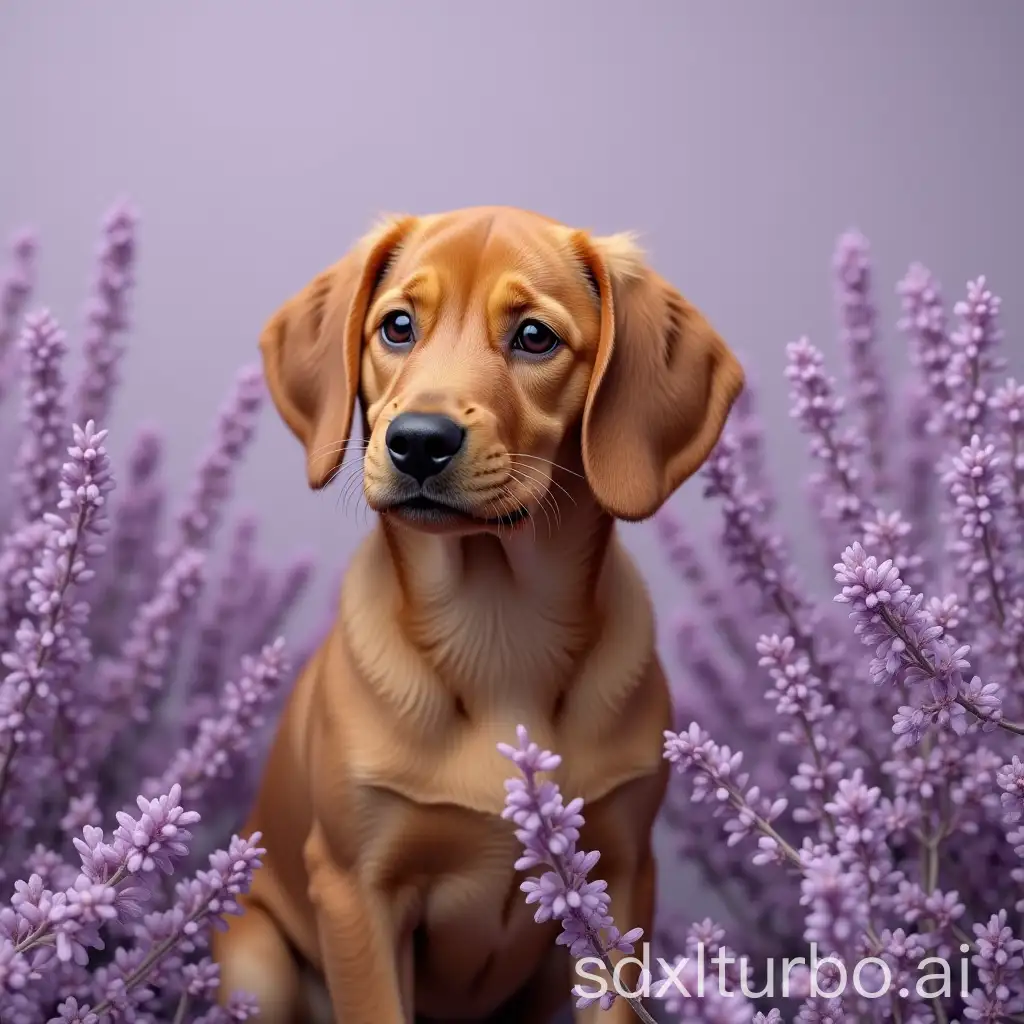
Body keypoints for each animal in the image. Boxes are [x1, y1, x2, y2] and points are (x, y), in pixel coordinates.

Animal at [214, 203, 745, 1019]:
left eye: (534, 336)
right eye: (398, 326)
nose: (418, 443)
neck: (496, 626)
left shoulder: (619, 883)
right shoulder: (356, 891)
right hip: (259, 962)